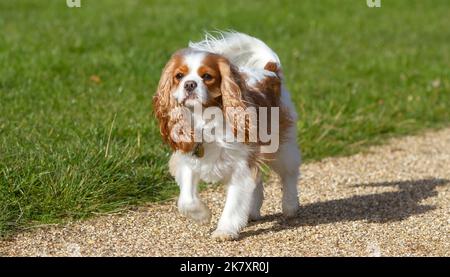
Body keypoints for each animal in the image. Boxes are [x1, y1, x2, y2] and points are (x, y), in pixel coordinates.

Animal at [153, 31, 300, 240]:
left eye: (207, 76)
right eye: (178, 76)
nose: (189, 84)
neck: (204, 118)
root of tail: (270, 71)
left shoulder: (240, 165)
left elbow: (234, 202)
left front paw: (224, 230)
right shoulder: (187, 160)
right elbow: (187, 199)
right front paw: (202, 215)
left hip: (281, 147)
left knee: (289, 174)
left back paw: (290, 206)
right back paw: (252, 212)